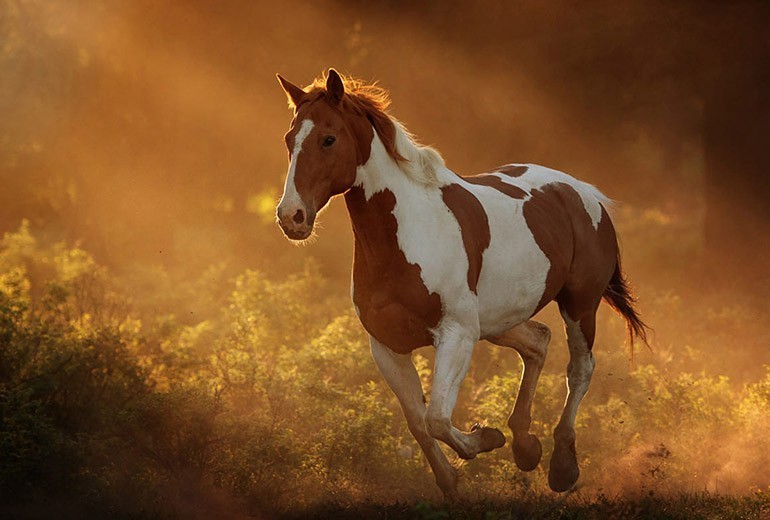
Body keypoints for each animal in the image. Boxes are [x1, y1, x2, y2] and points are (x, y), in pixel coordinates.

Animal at [272, 69, 644, 500]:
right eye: (289, 140)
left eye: (328, 138)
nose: (292, 217)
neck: (408, 233)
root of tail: (585, 193)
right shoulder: (387, 345)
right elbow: (418, 422)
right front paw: (452, 480)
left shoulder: (456, 334)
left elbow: (436, 418)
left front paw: (487, 438)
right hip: (497, 321)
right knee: (538, 341)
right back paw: (525, 447)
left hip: (579, 305)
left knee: (580, 368)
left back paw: (562, 468)